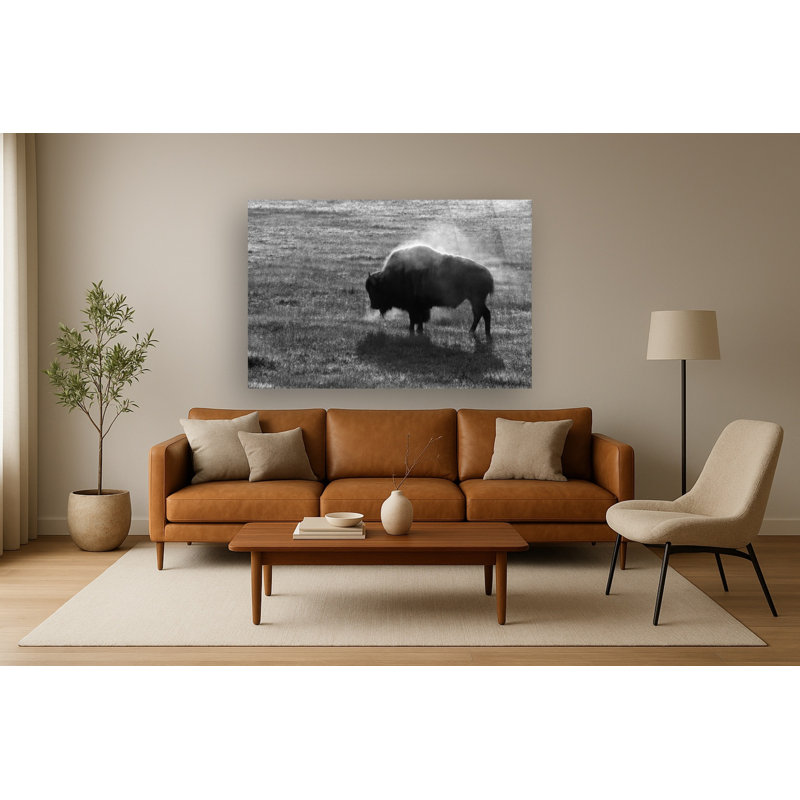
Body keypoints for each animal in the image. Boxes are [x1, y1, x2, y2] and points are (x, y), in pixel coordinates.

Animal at [366, 244, 495, 337]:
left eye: (375, 290)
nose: (373, 306)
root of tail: (488, 274)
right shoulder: (420, 307)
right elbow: (419, 319)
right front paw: (419, 330)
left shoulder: (413, 307)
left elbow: (414, 319)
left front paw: (412, 331)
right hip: (475, 300)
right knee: (482, 314)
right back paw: (478, 332)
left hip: (476, 300)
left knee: (482, 313)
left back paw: (477, 332)